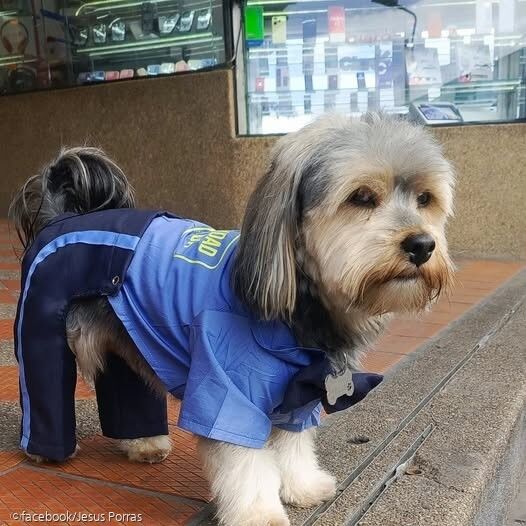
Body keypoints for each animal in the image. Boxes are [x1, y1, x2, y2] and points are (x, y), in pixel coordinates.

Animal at [8, 112, 456, 526]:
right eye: (361, 197)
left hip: (127, 339)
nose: (422, 245)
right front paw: (259, 513)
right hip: (40, 329)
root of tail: (61, 218)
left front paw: (303, 487)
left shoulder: (301, 392)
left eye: (424, 199)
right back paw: (45, 452)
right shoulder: (228, 392)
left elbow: (292, 448)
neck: (297, 306)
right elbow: (246, 464)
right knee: (44, 388)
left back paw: (143, 443)